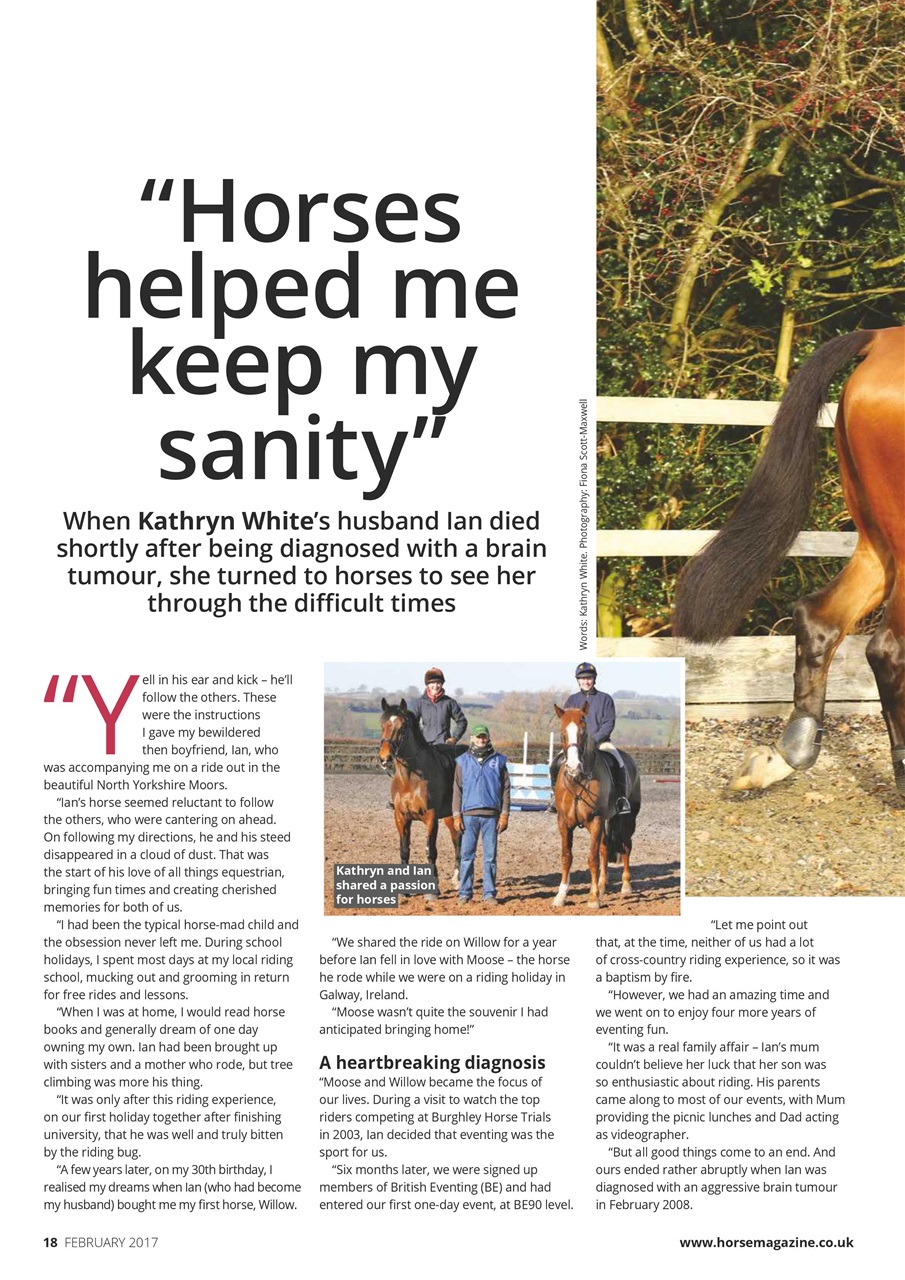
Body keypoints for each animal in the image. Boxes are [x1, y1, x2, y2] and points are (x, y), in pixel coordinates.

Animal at [377, 698, 462, 896]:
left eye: (402, 727)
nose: (385, 758)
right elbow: (404, 850)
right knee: (457, 840)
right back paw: (456, 879)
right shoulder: (401, 817)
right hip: (450, 817)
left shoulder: (431, 816)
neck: (411, 778)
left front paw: (434, 889)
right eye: (383, 725)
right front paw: (404, 890)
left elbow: (430, 850)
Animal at [552, 702, 641, 907]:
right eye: (562, 733)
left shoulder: (596, 820)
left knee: (626, 847)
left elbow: (592, 858)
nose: (574, 768)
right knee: (605, 848)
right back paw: (601, 886)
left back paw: (625, 886)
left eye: (583, 733)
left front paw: (593, 899)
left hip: (627, 820)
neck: (577, 782)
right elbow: (566, 856)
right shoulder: (563, 822)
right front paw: (561, 895)